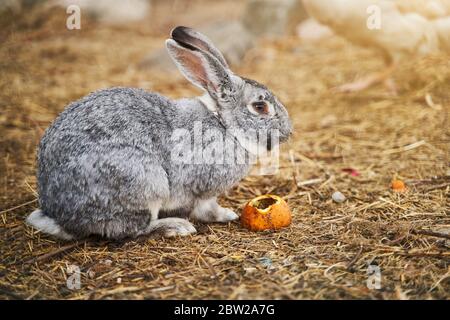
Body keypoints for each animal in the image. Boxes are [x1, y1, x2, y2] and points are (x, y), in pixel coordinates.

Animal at [26, 26, 292, 239]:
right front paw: (227, 214)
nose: (288, 131)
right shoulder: (203, 189)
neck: (223, 123)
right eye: (260, 107)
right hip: (145, 182)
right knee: (127, 229)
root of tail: (60, 216)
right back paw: (175, 226)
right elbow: (207, 209)